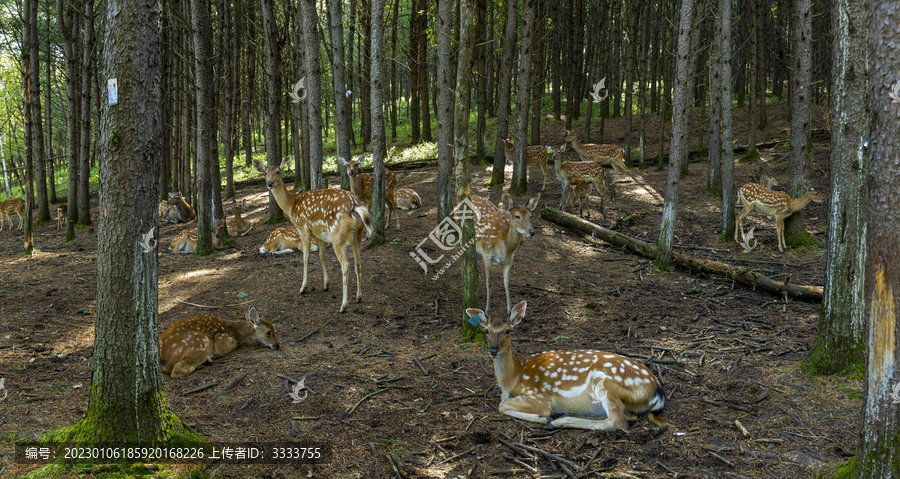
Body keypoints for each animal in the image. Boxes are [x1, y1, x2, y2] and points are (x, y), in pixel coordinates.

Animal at [253, 158, 372, 316]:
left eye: (278, 172)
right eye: (265, 173)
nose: (270, 183)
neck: (292, 205)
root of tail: (355, 204)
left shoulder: (303, 227)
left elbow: (305, 257)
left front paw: (302, 288)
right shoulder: (320, 233)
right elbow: (322, 256)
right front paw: (326, 285)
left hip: (337, 235)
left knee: (345, 265)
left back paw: (343, 306)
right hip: (357, 234)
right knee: (358, 262)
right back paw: (359, 297)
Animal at [468, 300, 664, 432]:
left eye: (508, 331)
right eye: (486, 330)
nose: (493, 350)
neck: (514, 377)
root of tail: (657, 390)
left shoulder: (538, 396)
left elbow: (503, 406)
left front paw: (542, 417)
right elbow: (502, 402)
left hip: (605, 381)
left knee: (617, 421)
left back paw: (559, 421)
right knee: (628, 416)